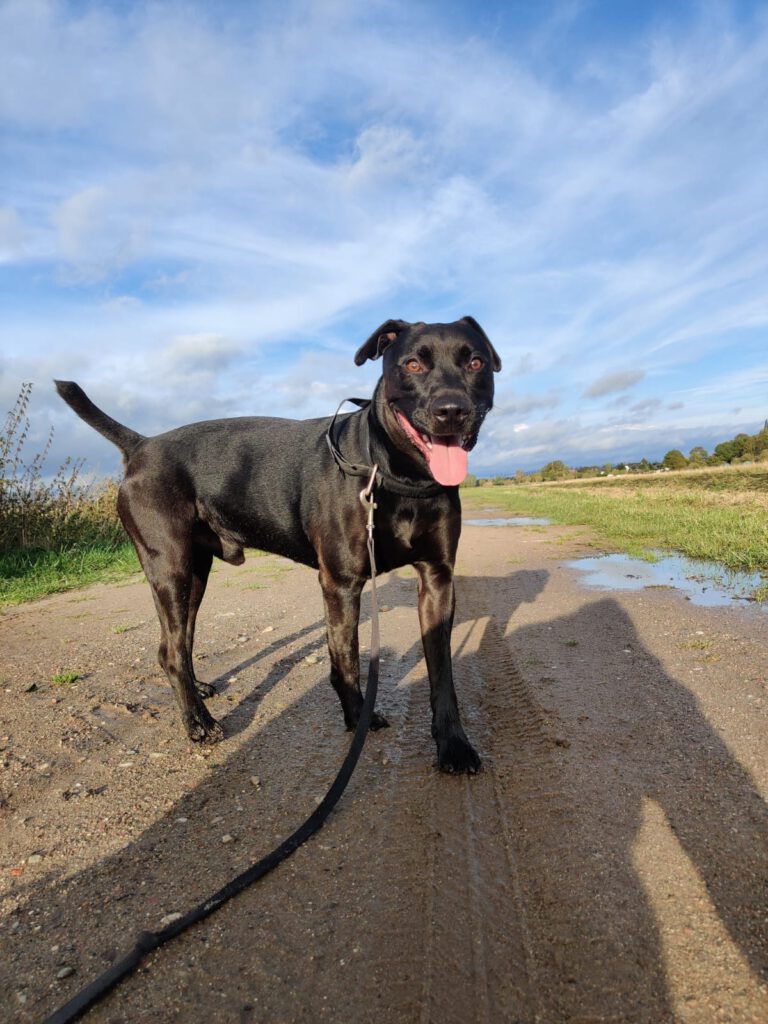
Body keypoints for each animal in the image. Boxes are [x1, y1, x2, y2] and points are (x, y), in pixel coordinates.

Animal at [54, 315, 499, 770]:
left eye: (475, 362)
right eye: (412, 364)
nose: (451, 410)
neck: (399, 476)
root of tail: (142, 445)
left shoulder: (438, 579)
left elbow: (443, 674)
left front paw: (454, 744)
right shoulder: (341, 584)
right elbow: (347, 662)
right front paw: (357, 718)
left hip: (195, 573)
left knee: (182, 639)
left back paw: (198, 691)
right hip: (169, 568)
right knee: (170, 650)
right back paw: (198, 722)